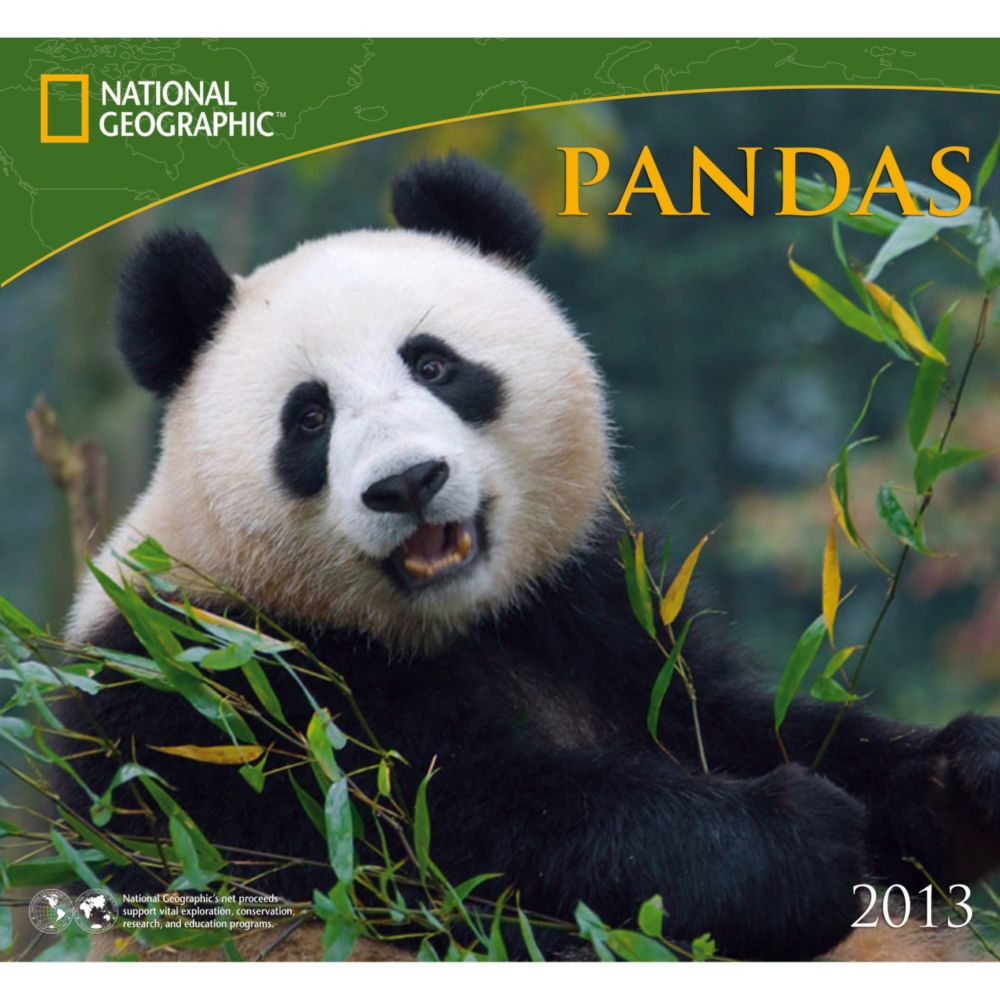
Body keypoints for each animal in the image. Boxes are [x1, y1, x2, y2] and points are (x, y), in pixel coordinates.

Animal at [62, 153, 1000, 962]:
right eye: (310, 418)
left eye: (434, 364)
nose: (408, 482)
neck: (452, 623)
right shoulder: (210, 696)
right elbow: (453, 831)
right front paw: (796, 834)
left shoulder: (592, 606)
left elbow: (739, 721)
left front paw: (961, 772)